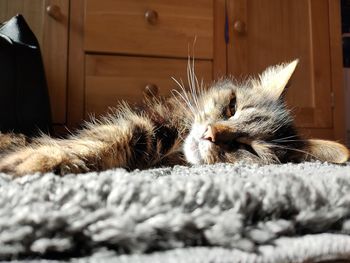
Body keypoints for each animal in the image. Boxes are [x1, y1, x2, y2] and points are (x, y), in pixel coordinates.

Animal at [0, 59, 348, 176]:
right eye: (232, 107)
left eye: (248, 149)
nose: (209, 133)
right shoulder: (152, 123)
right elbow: (107, 137)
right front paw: (42, 158)